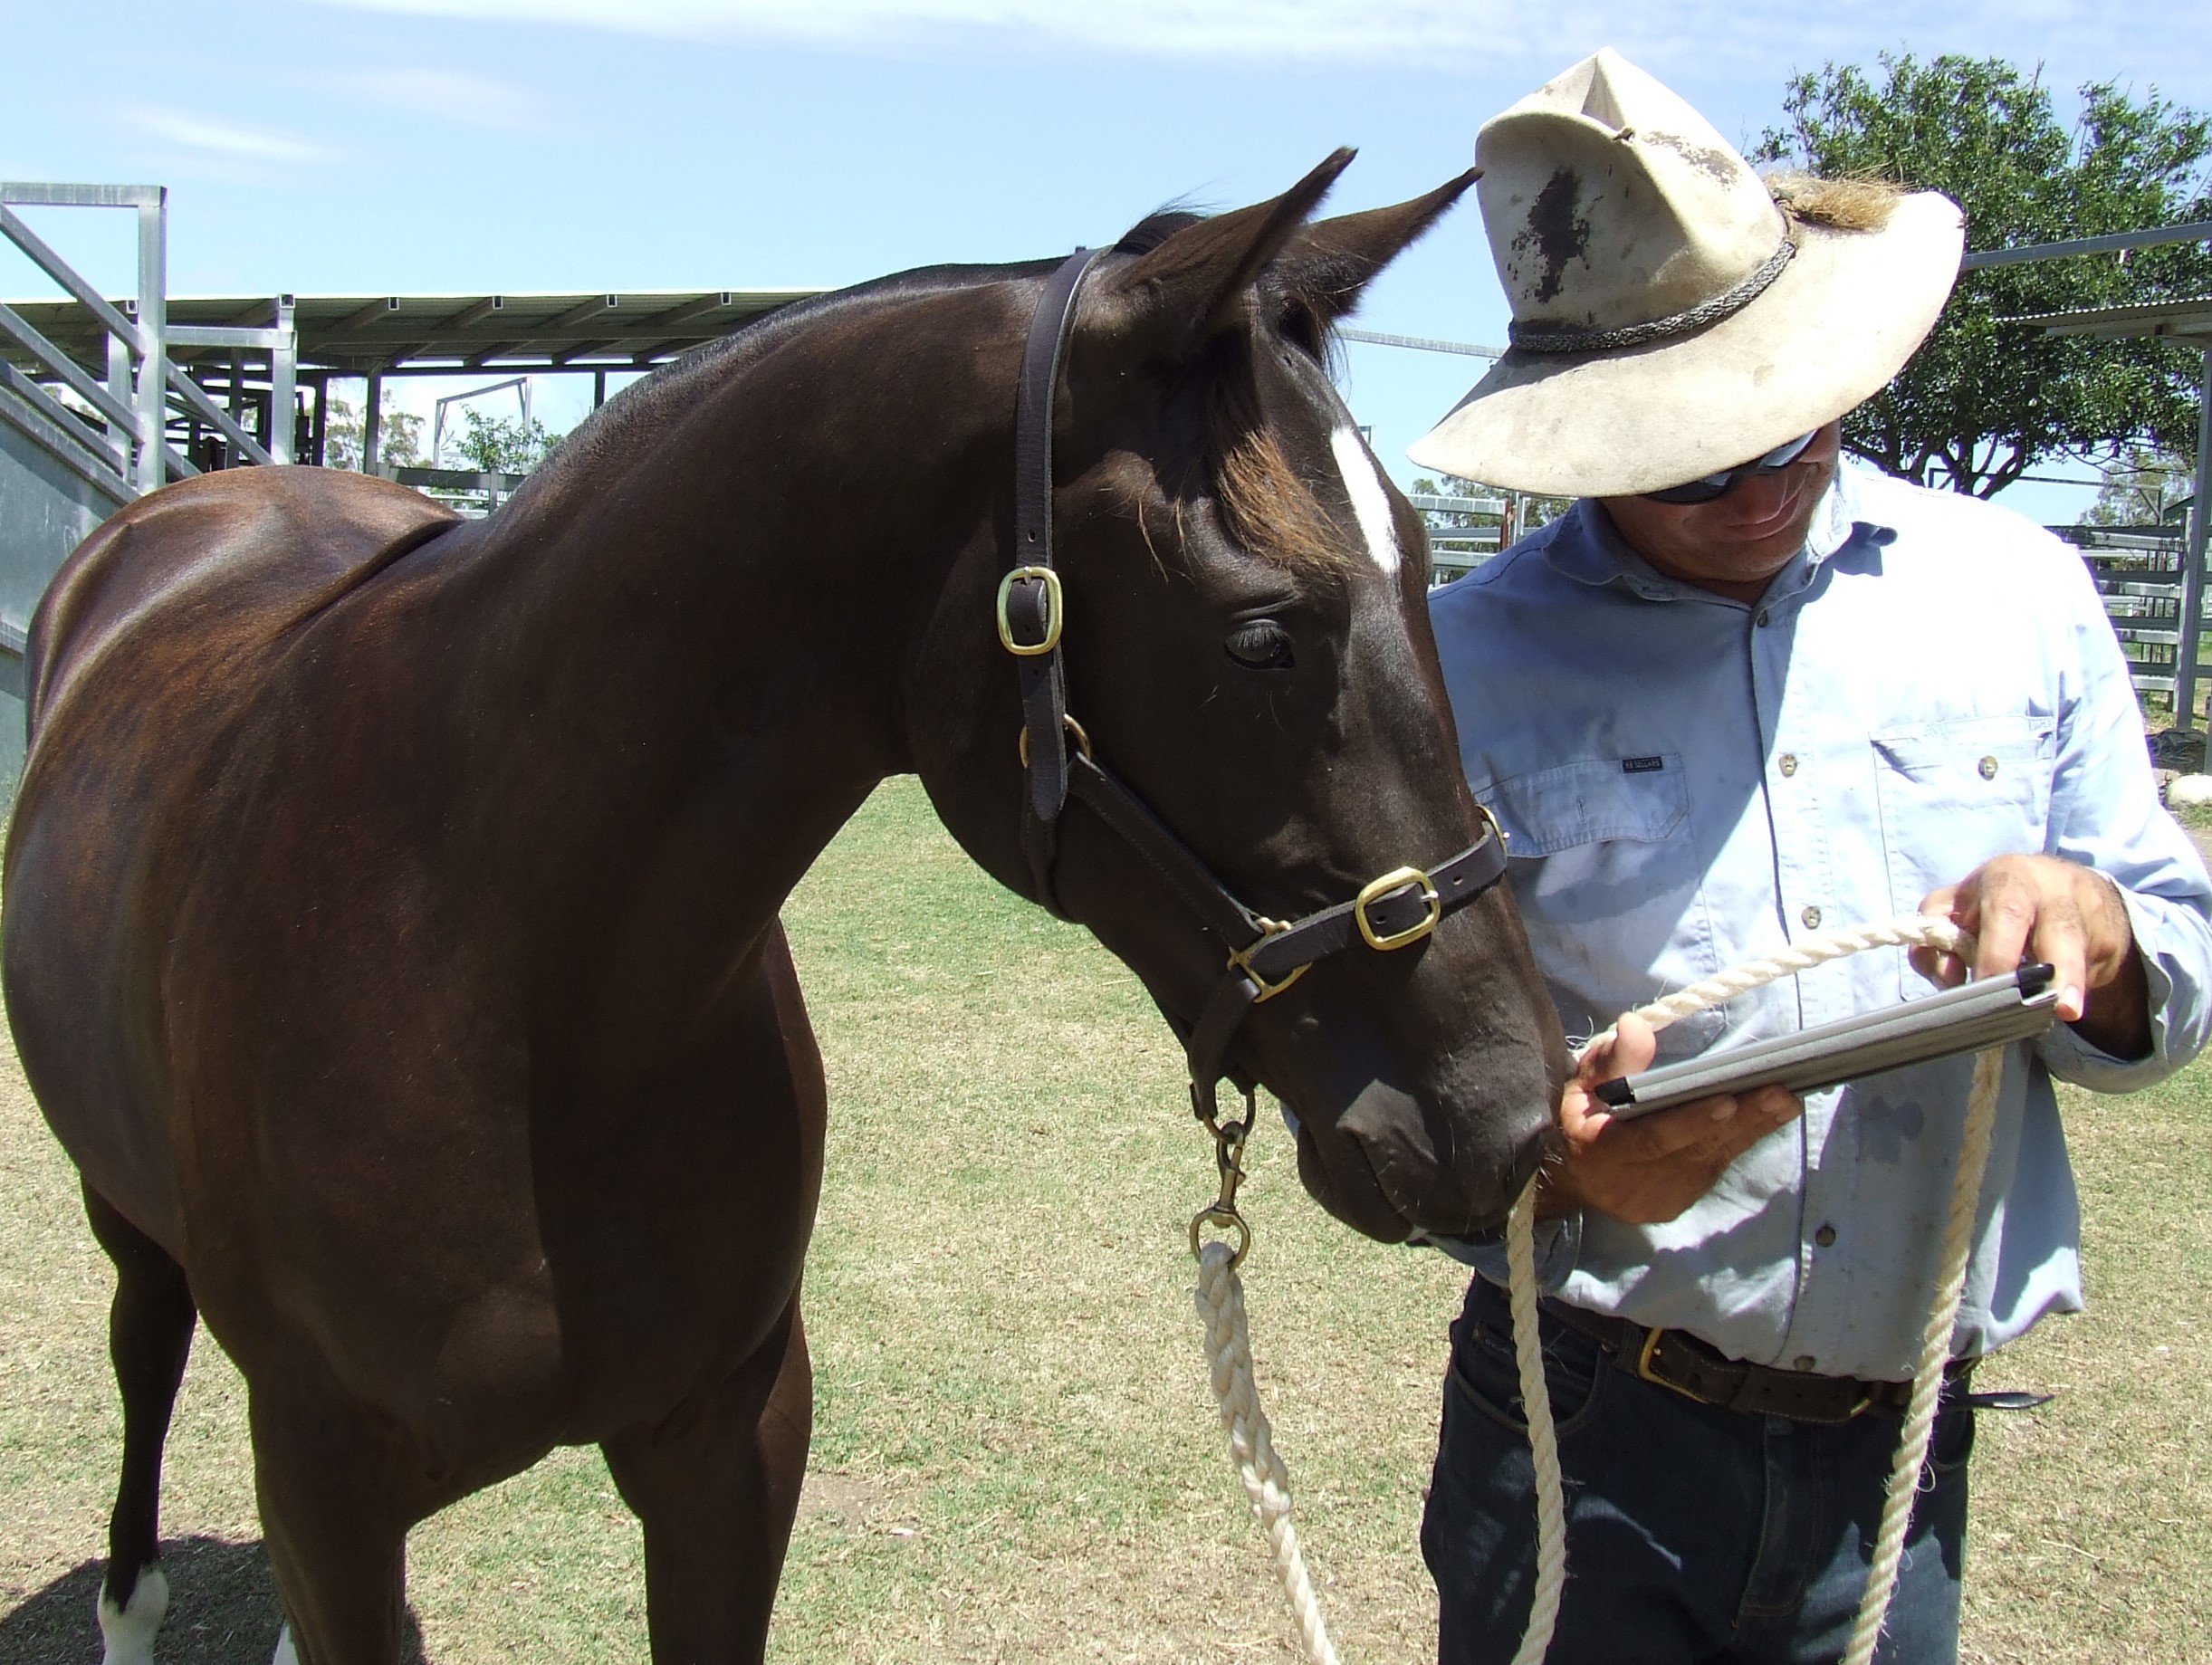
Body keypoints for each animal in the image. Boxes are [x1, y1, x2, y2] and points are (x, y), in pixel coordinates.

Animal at [2, 150, 1567, 1665]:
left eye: (1428, 564)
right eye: (1259, 634)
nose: (1510, 1115)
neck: (509, 966)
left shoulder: (730, 1437)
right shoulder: (326, 1479)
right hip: (126, 1218)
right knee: (144, 1349)